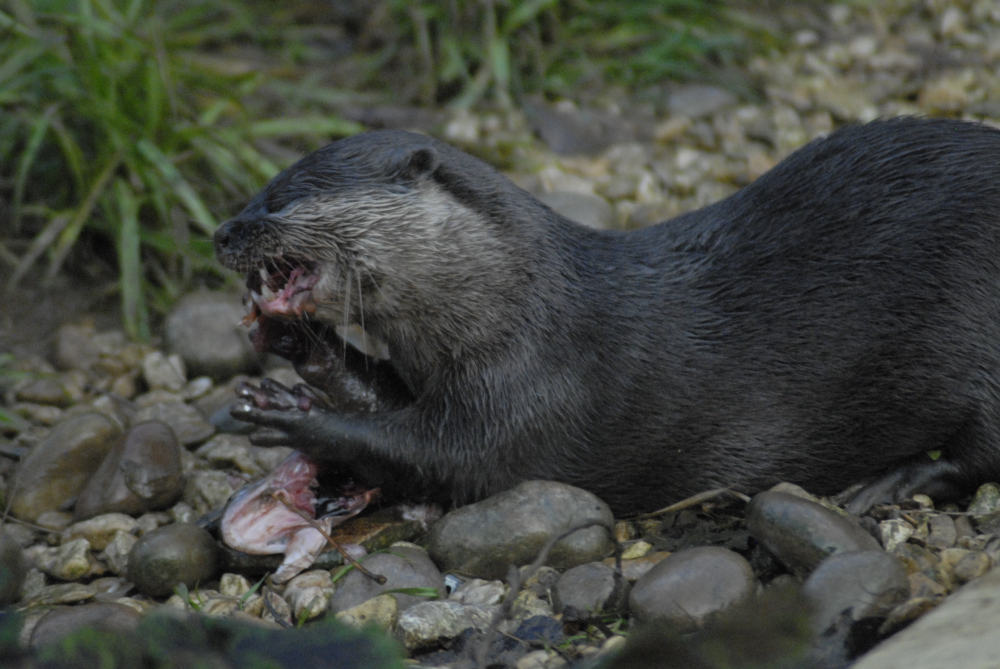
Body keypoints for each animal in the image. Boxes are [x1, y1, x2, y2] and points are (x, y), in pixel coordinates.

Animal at [214, 118, 1000, 516]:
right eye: (252, 192)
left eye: (279, 199)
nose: (221, 231)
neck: (516, 307)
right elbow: (383, 398)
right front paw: (300, 348)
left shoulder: (541, 390)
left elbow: (443, 458)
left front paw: (292, 416)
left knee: (980, 454)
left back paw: (893, 484)